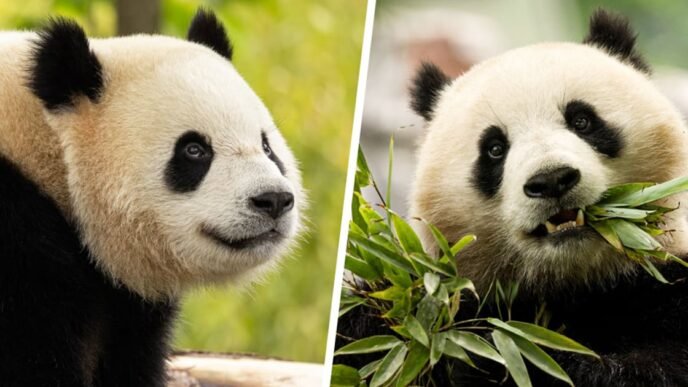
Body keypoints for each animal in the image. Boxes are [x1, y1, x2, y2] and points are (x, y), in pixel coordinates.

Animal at [338, 9, 688, 387]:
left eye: (582, 120)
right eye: (494, 149)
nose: (551, 180)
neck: (571, 285)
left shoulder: (664, 285)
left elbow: (654, 368)